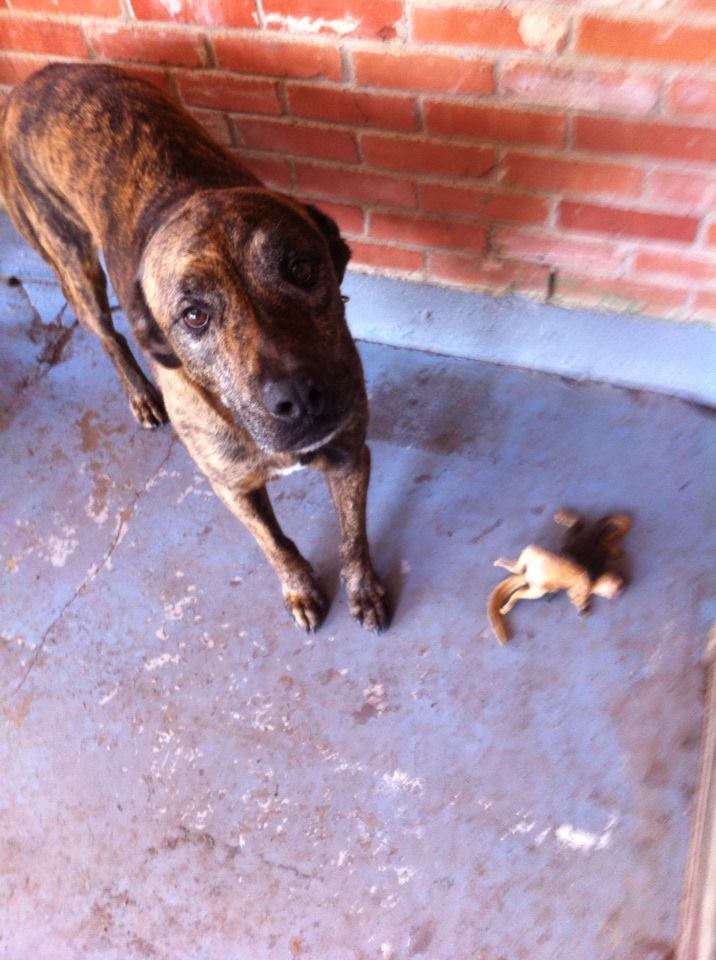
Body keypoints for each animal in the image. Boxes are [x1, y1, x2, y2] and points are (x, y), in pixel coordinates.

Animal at [0, 62, 388, 632]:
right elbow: (275, 544)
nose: (299, 399)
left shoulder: (348, 453)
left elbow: (353, 536)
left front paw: (363, 589)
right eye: (194, 316)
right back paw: (140, 394)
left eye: (301, 268)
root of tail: (35, 79)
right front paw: (299, 588)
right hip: (71, 261)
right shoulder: (232, 487)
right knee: (107, 332)